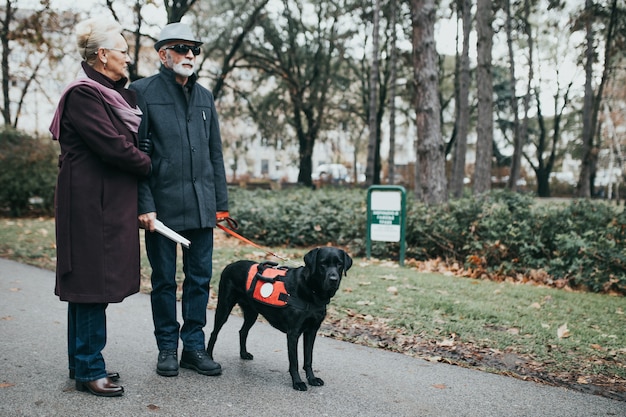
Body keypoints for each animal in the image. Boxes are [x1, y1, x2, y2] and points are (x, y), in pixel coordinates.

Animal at [206, 245, 348, 388]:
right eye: (322, 263)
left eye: (339, 264)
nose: (334, 280)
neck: (311, 291)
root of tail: (231, 265)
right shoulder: (293, 333)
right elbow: (294, 362)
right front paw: (297, 382)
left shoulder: (311, 331)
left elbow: (308, 359)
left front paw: (312, 379)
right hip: (224, 308)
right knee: (214, 333)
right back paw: (209, 357)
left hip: (252, 313)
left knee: (243, 331)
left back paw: (243, 354)